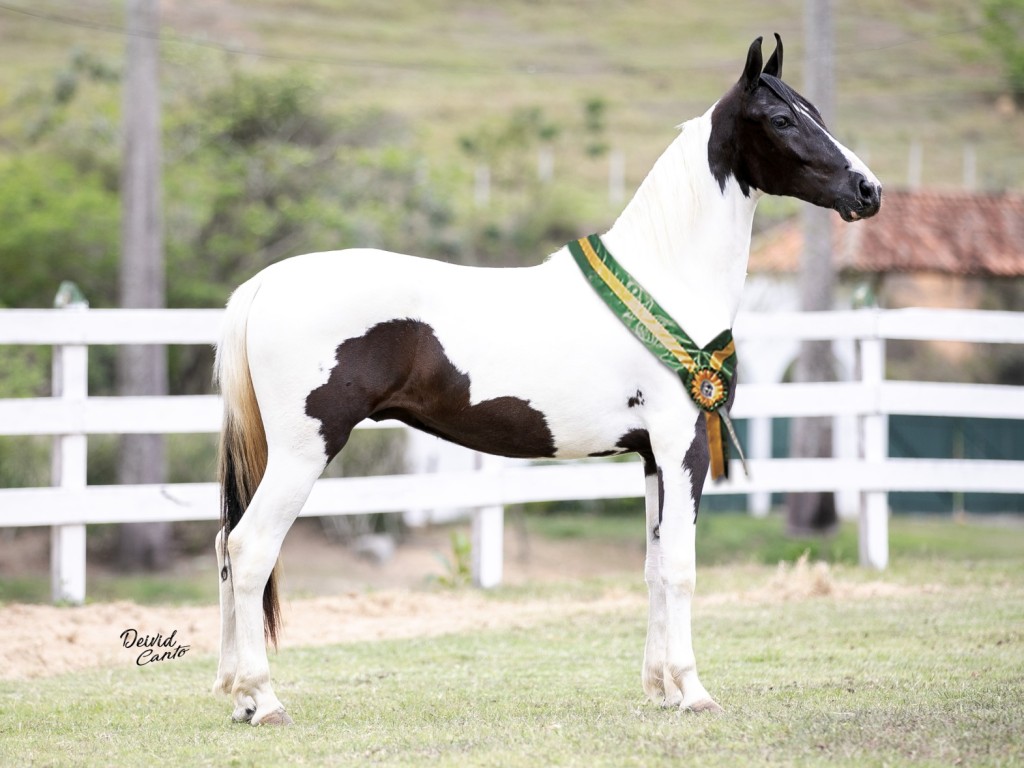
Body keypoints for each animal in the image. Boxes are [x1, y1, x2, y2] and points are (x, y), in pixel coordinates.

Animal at [209, 31, 880, 729]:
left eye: (816, 114)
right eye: (781, 120)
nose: (869, 191)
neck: (666, 276)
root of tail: (267, 282)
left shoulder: (651, 457)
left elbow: (652, 566)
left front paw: (662, 688)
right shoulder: (683, 446)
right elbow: (681, 567)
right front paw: (693, 691)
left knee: (225, 546)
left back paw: (238, 697)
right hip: (304, 450)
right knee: (251, 548)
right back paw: (264, 698)